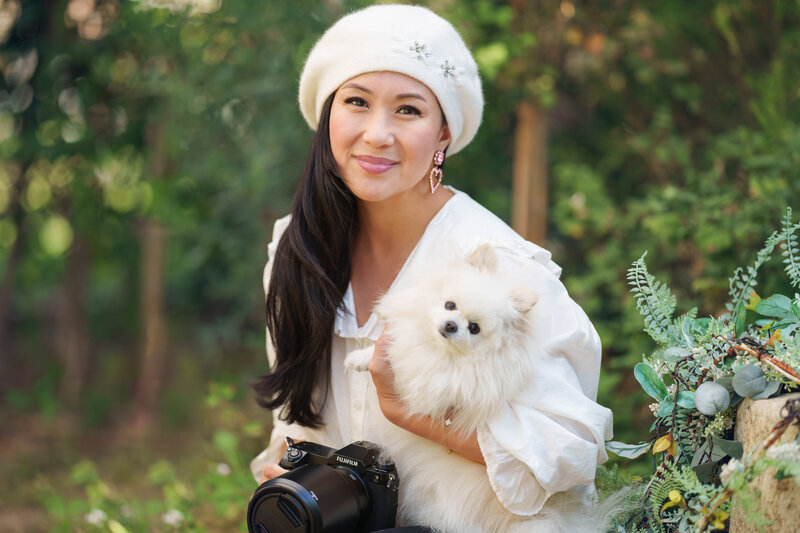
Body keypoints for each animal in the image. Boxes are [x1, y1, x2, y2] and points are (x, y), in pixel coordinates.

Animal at [344, 244, 608, 532]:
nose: (451, 325)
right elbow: (394, 348)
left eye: (474, 328)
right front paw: (359, 358)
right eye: (450, 305)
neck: (440, 351)